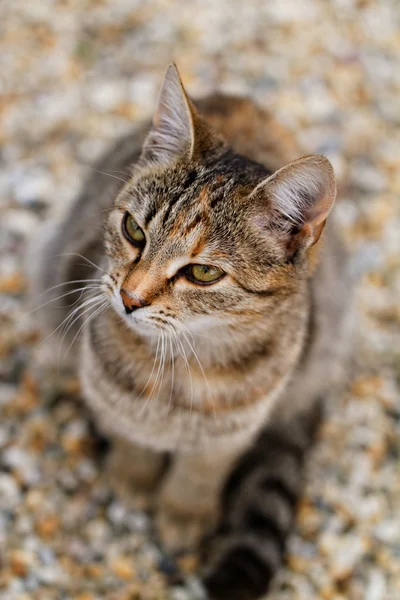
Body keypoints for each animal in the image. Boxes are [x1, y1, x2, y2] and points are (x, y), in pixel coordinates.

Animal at [28, 63, 354, 596]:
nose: (129, 298)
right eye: (134, 231)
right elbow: (132, 439)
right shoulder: (113, 391)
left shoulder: (236, 429)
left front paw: (183, 513)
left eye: (203, 273)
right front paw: (133, 480)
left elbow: (200, 473)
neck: (180, 363)